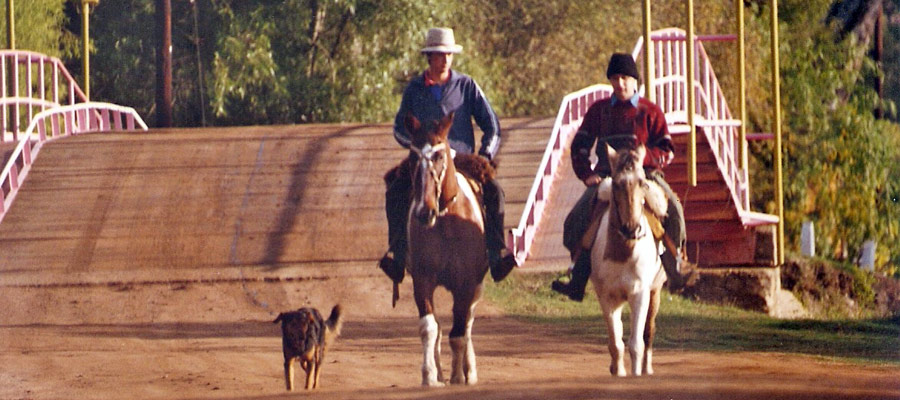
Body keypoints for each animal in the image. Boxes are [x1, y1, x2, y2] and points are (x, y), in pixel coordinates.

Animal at [406, 111, 488, 386]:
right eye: (413, 157)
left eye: (439, 156)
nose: (424, 211)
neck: (446, 222)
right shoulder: (422, 280)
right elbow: (429, 327)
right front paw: (430, 375)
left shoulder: (466, 284)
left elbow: (459, 333)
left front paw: (458, 376)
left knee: (468, 323)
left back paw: (469, 370)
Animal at [592, 145, 668, 376]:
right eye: (616, 183)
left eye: (643, 183)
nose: (631, 229)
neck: (623, 253)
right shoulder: (607, 298)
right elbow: (616, 344)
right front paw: (618, 372)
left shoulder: (640, 294)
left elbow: (636, 344)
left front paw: (635, 374)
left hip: (655, 292)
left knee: (648, 333)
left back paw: (647, 369)